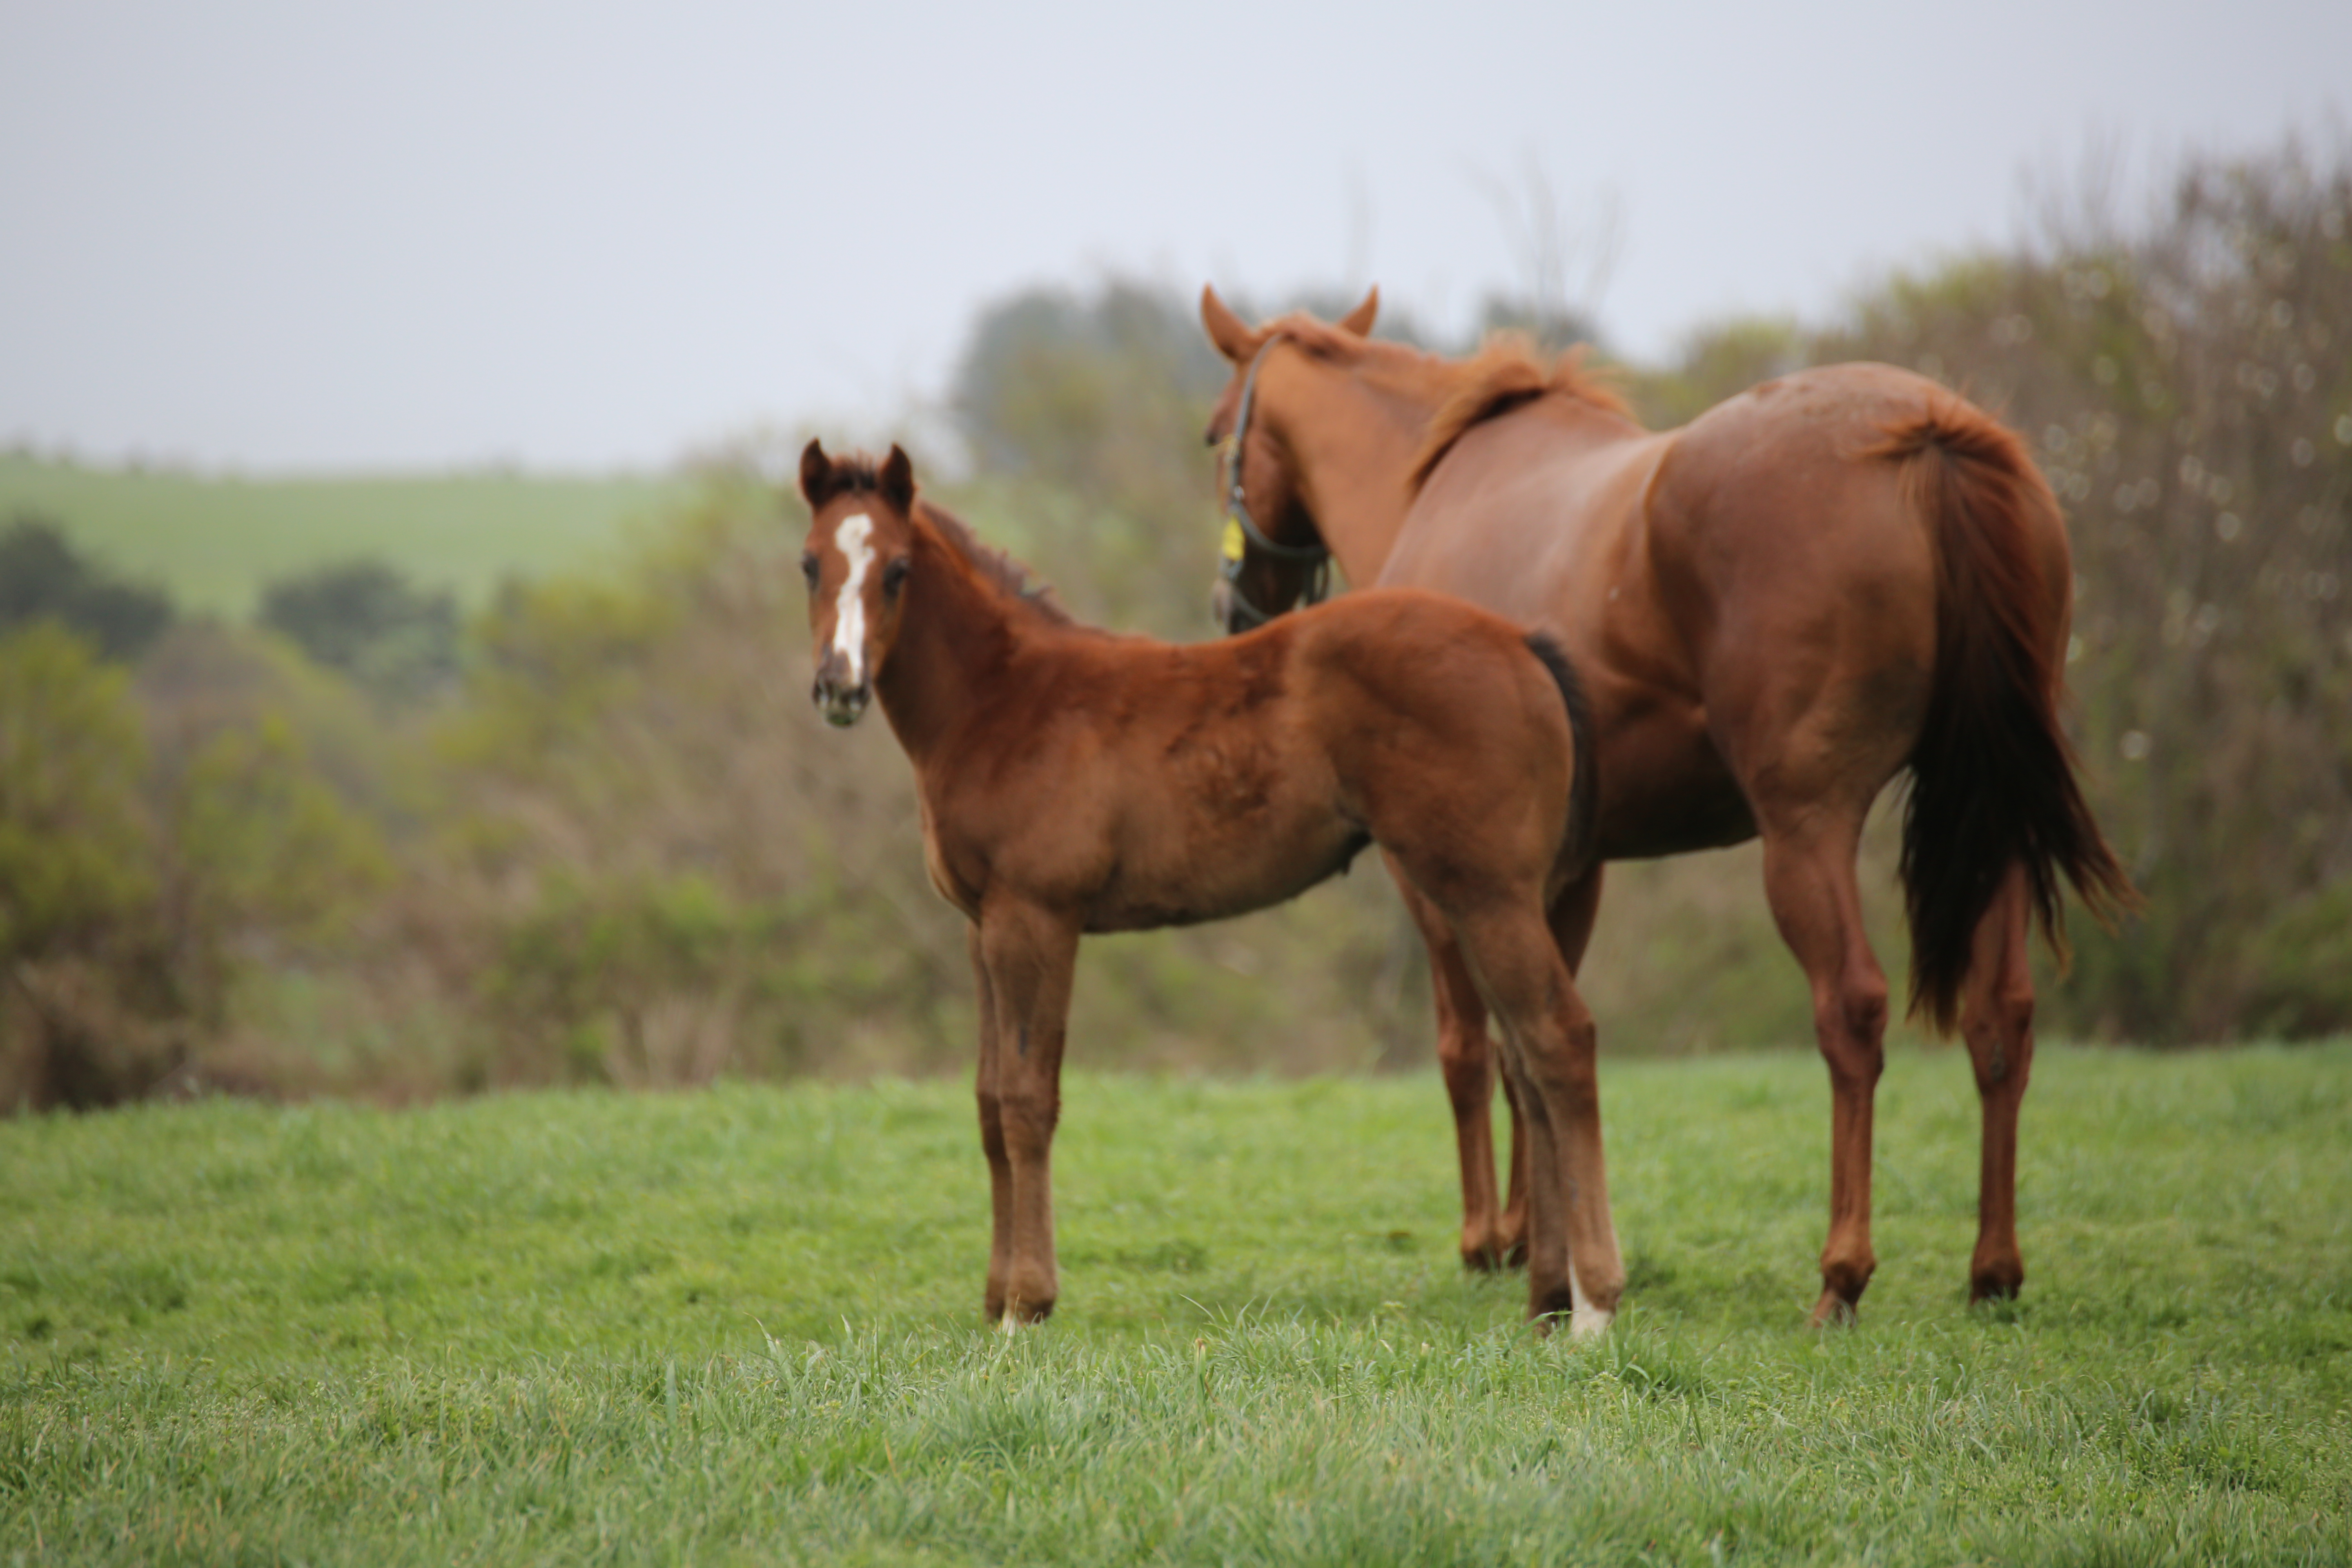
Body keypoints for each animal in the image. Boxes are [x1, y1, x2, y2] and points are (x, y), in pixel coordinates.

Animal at [790, 442, 1618, 1335]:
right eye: (809, 563)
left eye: (898, 569)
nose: (839, 687)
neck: (1004, 702)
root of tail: (1524, 644)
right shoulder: (980, 928)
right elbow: (986, 1103)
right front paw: (995, 1299)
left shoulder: (1035, 919)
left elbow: (1027, 1101)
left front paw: (1027, 1305)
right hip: (1504, 900)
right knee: (1526, 1063)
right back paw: (1548, 1299)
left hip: (1486, 893)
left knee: (1560, 1041)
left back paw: (1595, 1309)